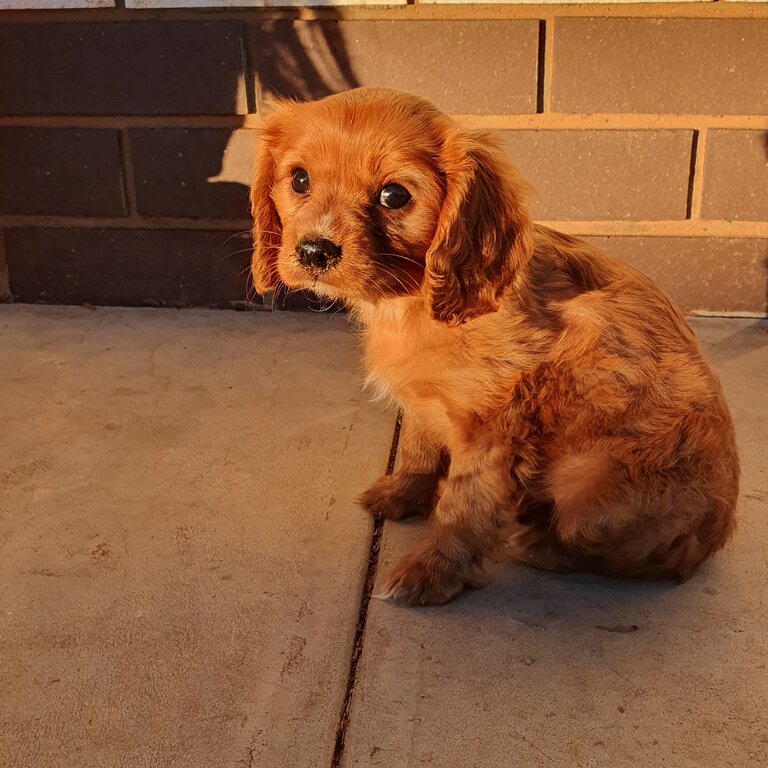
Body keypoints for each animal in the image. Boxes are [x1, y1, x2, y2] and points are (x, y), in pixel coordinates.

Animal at [250, 87, 736, 608]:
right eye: (299, 180)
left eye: (394, 196)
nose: (314, 251)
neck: (412, 302)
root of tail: (713, 541)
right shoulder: (423, 401)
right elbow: (418, 447)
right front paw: (403, 494)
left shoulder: (493, 430)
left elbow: (464, 507)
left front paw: (431, 573)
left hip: (584, 490)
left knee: (643, 559)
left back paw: (540, 542)